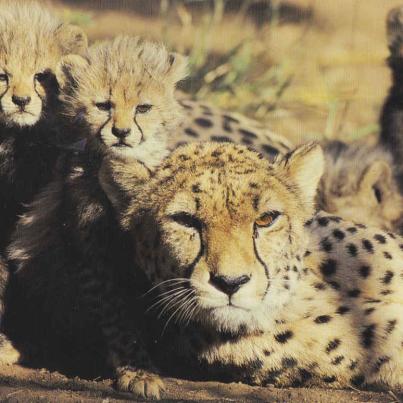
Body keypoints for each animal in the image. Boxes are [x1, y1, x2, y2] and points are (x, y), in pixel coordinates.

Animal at [6, 36, 188, 400]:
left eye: (143, 108)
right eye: (104, 105)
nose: (121, 132)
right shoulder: (92, 254)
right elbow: (116, 314)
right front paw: (138, 371)